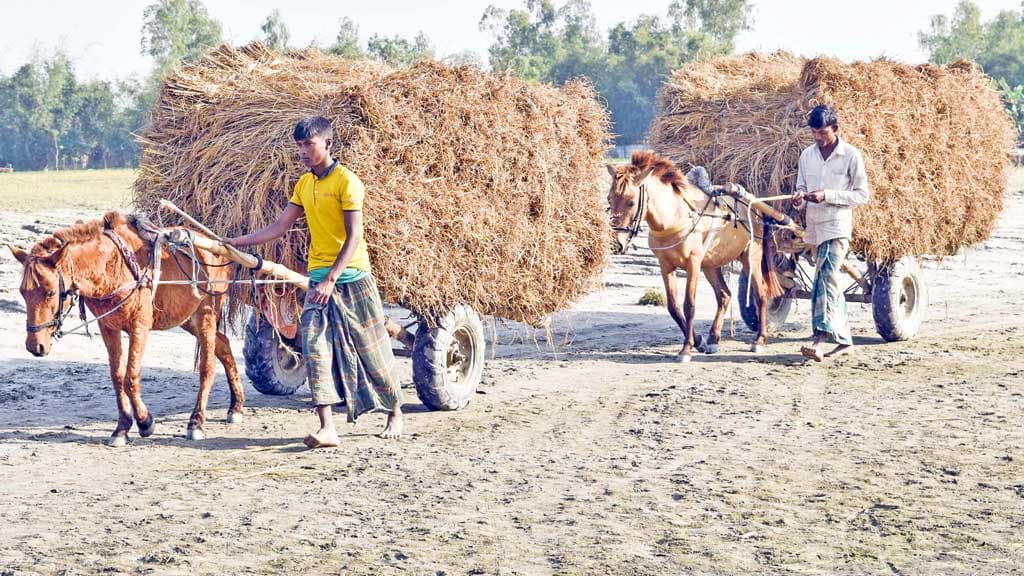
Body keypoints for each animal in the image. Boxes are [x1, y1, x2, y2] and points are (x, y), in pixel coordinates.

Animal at [9, 211, 243, 444]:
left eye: (50, 292)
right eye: (23, 292)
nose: (35, 346)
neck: (113, 265)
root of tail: (218, 246)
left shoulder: (139, 326)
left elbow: (131, 377)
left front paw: (145, 422)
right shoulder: (108, 327)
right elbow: (118, 377)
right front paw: (122, 428)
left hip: (206, 314)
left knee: (207, 367)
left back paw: (196, 421)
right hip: (188, 318)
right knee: (223, 344)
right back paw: (236, 407)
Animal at [606, 150, 782, 360]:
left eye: (631, 202)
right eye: (609, 199)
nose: (615, 243)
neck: (675, 216)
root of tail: (754, 204)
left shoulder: (693, 263)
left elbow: (689, 305)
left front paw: (686, 349)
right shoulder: (665, 265)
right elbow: (673, 307)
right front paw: (698, 341)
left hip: (751, 257)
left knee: (761, 293)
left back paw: (760, 339)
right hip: (711, 264)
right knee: (724, 295)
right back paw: (713, 338)